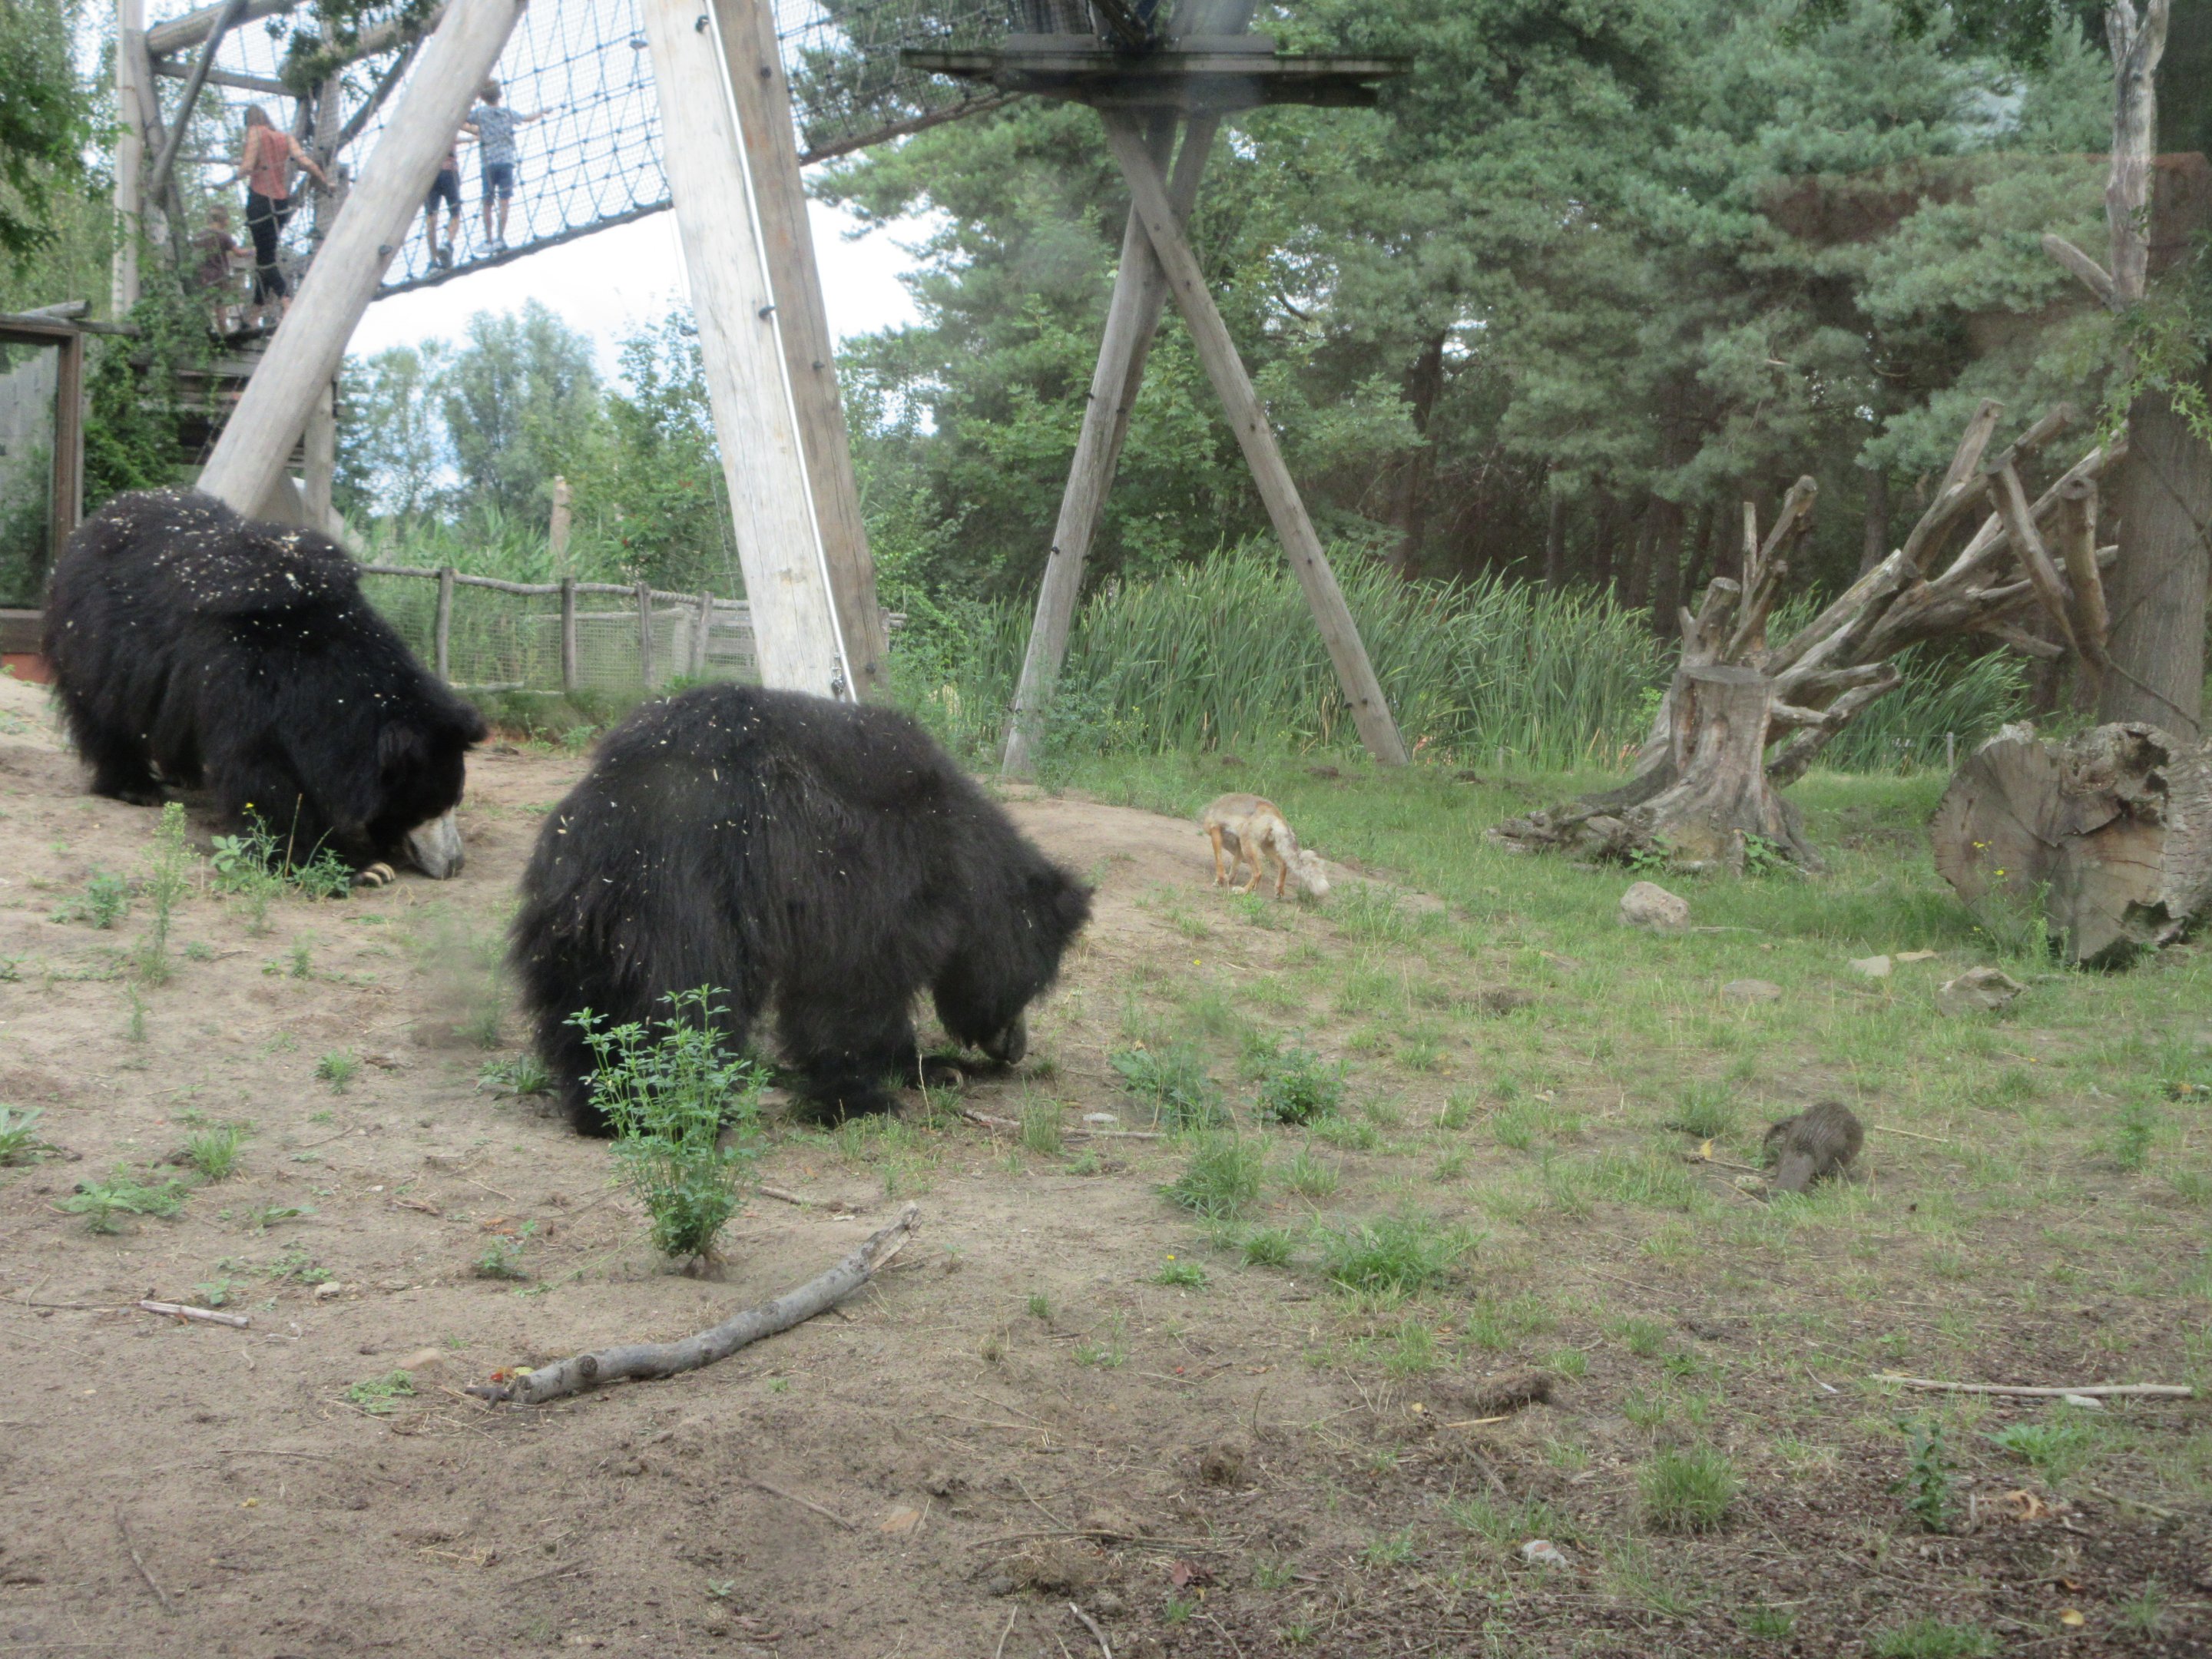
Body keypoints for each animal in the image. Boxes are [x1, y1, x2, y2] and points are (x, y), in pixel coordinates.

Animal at [42, 489, 487, 879]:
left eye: (455, 801)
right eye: (428, 807)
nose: (455, 864)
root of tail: (89, 526)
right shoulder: (244, 682)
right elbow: (261, 777)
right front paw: (358, 868)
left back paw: (185, 774)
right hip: (100, 642)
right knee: (104, 716)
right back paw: (138, 788)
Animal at [511, 682, 1093, 1132]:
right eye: (1034, 983)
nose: (1016, 1048)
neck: (958, 857)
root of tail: (607, 804)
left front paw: (933, 1069)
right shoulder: (871, 884)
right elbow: (851, 992)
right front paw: (873, 1095)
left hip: (579, 914)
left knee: (587, 1005)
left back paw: (602, 1106)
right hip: (683, 895)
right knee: (679, 996)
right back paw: (672, 1108)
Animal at [1199, 793, 1330, 899]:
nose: (1245, 861)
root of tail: (1275, 813)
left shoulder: (1216, 831)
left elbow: (1219, 861)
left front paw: (1220, 880)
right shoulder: (1239, 846)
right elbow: (1234, 867)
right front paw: (1229, 880)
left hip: (1249, 846)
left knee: (1258, 872)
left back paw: (1244, 891)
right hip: (1263, 848)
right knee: (1283, 864)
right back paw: (1279, 890)